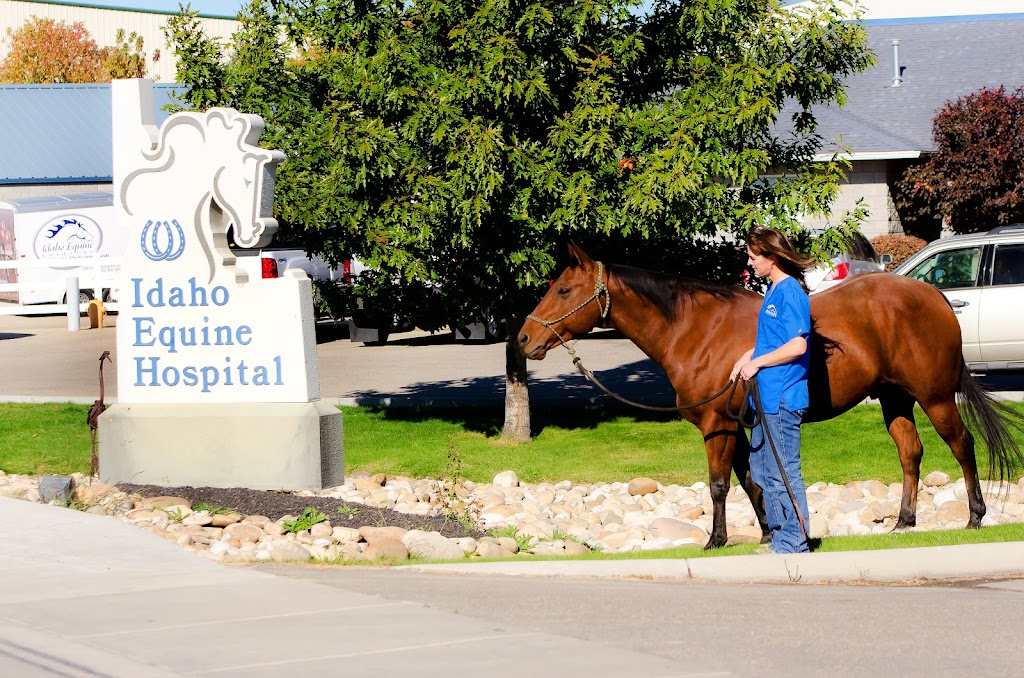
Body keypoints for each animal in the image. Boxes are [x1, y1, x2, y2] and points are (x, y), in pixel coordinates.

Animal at [524, 241, 1019, 548]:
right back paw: (903, 522)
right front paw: (766, 534)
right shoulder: (740, 424)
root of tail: (935, 295)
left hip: (935, 397)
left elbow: (720, 484)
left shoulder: (717, 426)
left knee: (962, 446)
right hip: (895, 398)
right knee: (910, 453)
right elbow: (750, 480)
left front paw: (715, 539)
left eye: (564, 289)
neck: (697, 331)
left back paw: (975, 516)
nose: (526, 338)